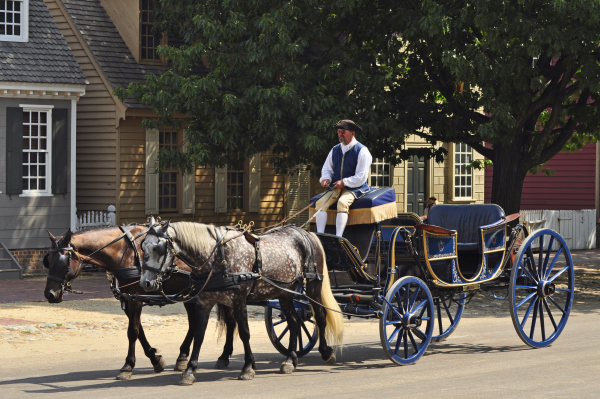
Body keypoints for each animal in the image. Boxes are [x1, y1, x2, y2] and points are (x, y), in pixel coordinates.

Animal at [42, 223, 239, 382]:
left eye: (62, 261)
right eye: (48, 260)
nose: (50, 294)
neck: (123, 251)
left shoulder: (134, 298)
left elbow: (133, 332)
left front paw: (127, 366)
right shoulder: (129, 298)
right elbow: (139, 330)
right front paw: (155, 359)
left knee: (230, 321)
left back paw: (224, 356)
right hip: (190, 293)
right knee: (194, 323)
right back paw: (183, 357)